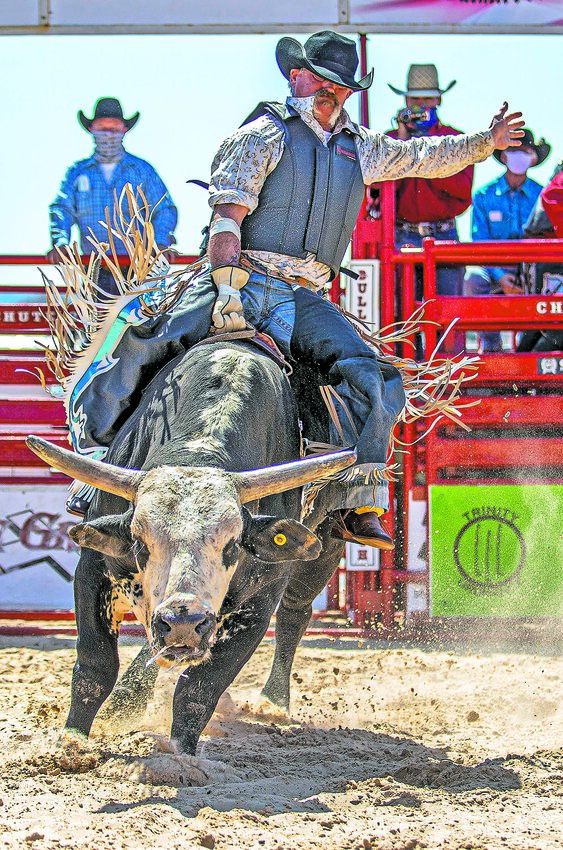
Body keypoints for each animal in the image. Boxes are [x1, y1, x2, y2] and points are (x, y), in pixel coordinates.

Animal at [27, 336, 356, 748]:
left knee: (295, 613)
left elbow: (200, 689)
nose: (184, 620)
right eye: (139, 543)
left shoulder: (258, 603)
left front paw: (179, 752)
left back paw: (272, 702)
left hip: (325, 546)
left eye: (232, 545)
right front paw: (72, 740)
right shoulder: (94, 569)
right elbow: (95, 666)